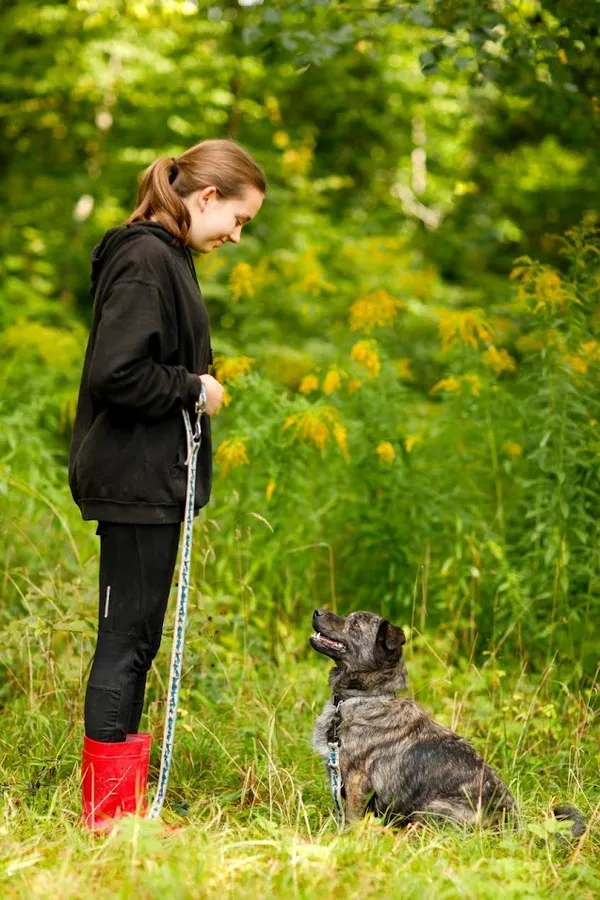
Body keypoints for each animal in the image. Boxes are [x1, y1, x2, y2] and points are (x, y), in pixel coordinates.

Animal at [310, 608, 584, 832]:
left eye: (354, 625)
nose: (317, 611)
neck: (366, 697)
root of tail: (512, 828)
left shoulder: (356, 781)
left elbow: (351, 818)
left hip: (433, 808)